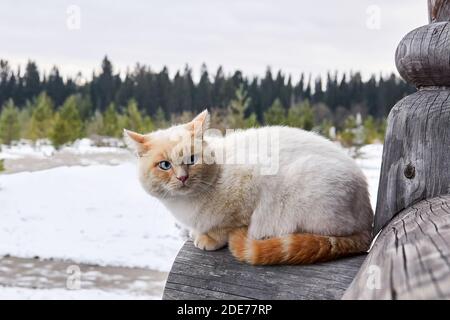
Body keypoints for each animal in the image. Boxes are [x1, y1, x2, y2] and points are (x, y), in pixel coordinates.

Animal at [124, 110, 372, 264]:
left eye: (192, 160)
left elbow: (227, 226)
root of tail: (368, 224)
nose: (183, 178)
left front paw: (208, 239)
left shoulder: (250, 187)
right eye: (165, 165)